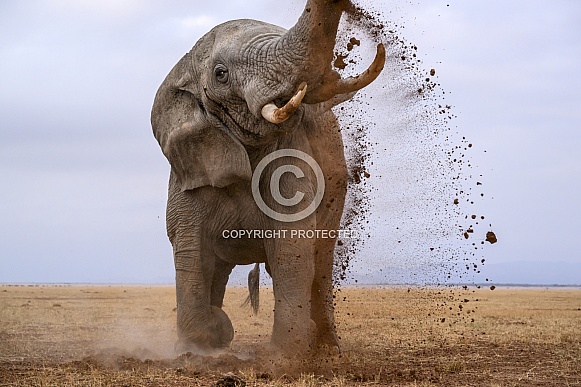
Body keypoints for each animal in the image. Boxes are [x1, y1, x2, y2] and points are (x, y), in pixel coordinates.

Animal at [152, 0, 382, 356]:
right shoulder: (189, 169)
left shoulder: (292, 161)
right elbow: (192, 248)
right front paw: (201, 346)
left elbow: (291, 247)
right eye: (220, 74)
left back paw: (327, 349)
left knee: (321, 261)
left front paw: (285, 357)